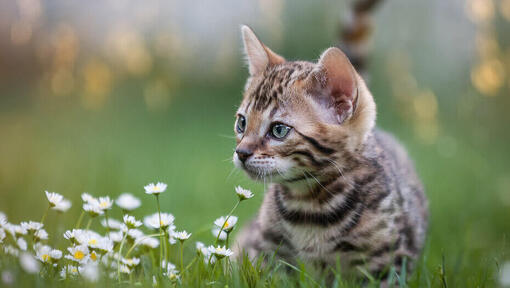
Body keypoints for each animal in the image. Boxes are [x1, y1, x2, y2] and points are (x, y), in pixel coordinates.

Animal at [233, 25, 428, 282]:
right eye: (242, 123)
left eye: (278, 130)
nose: (241, 152)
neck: (309, 204)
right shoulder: (268, 251)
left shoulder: (387, 262)